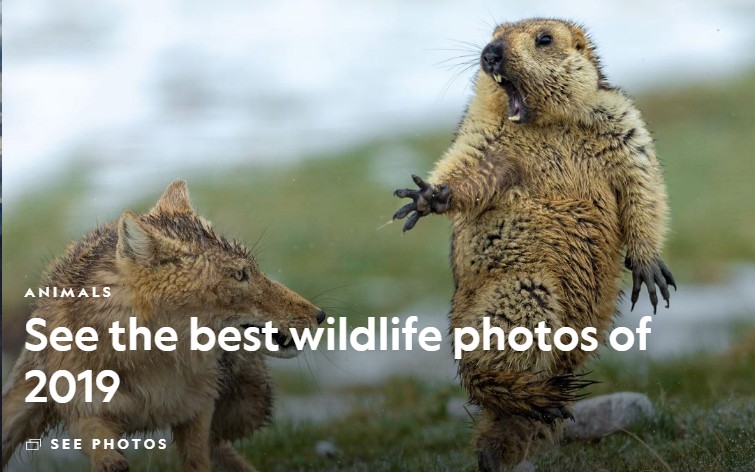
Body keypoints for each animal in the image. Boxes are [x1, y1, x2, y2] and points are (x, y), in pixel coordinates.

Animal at [0, 179, 324, 470]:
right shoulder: (85, 410)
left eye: (253, 271)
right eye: (239, 275)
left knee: (220, 444)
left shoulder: (197, 409)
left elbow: (198, 461)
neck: (152, 365)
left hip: (250, 404)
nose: (319, 315)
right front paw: (111, 462)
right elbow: (100, 446)